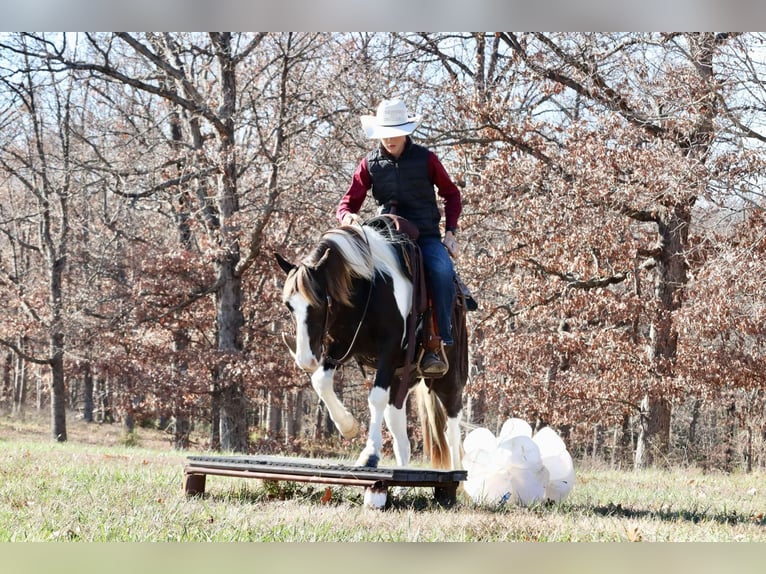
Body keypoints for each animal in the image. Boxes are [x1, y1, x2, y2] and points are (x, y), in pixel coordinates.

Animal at [276, 225, 468, 472]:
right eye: (289, 305)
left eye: (319, 302)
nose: (305, 360)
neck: (369, 289)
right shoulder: (339, 345)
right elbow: (321, 382)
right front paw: (348, 426)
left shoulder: (388, 350)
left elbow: (375, 398)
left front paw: (369, 455)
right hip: (402, 378)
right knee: (398, 429)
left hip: (449, 377)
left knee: (452, 424)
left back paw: (457, 470)